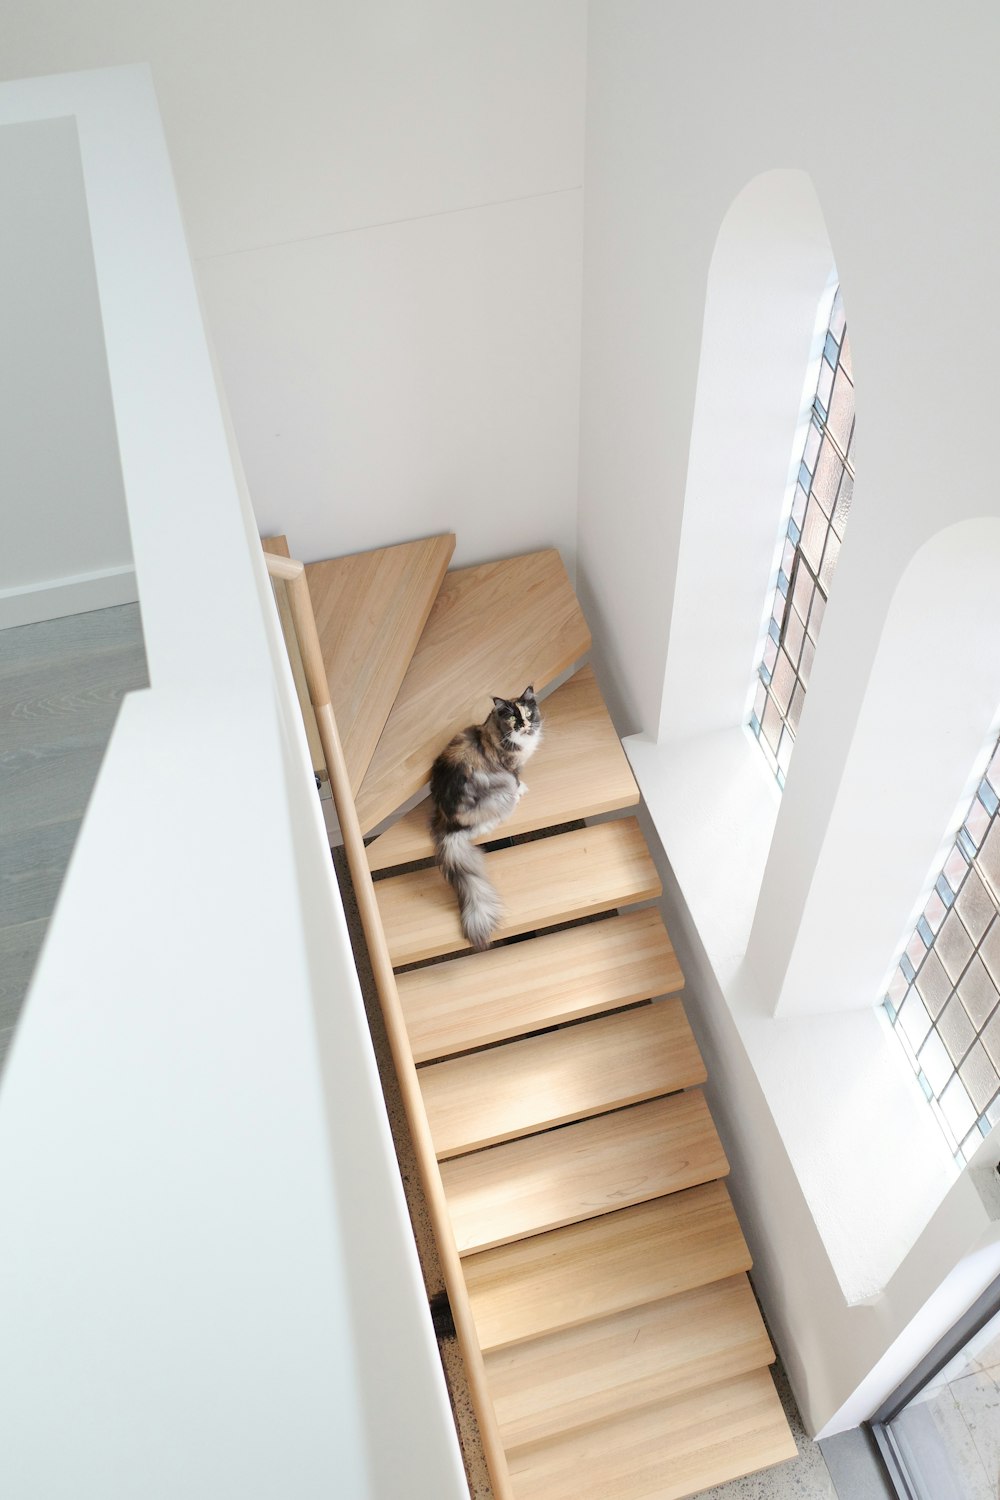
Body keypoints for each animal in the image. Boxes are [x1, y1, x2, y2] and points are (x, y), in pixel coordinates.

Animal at [428, 684, 542, 948]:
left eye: (527, 714)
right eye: (513, 718)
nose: (524, 725)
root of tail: (446, 822)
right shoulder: (510, 768)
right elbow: (517, 779)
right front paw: (522, 789)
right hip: (498, 797)